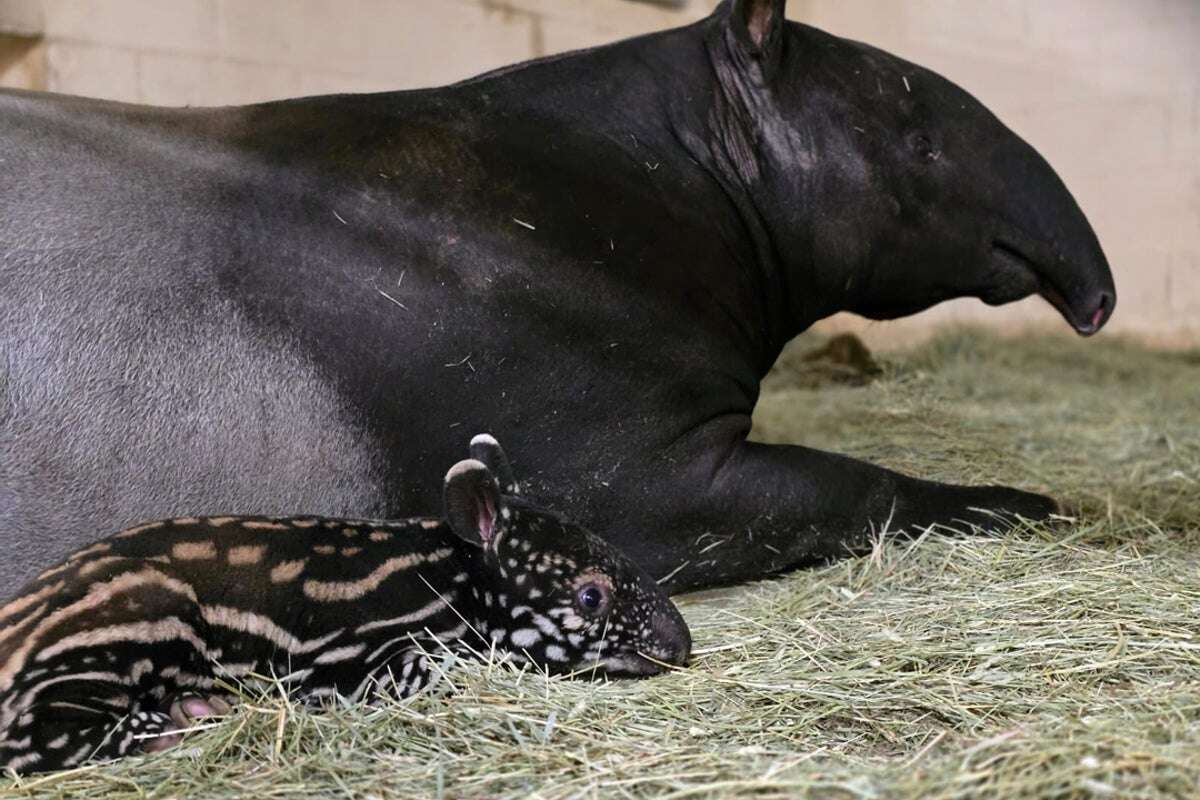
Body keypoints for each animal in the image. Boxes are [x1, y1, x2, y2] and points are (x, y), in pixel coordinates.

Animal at [0, 438, 691, 777]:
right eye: (590, 596)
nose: (681, 646)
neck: (449, 576)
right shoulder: (377, 659)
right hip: (129, 621)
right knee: (35, 738)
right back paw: (174, 723)